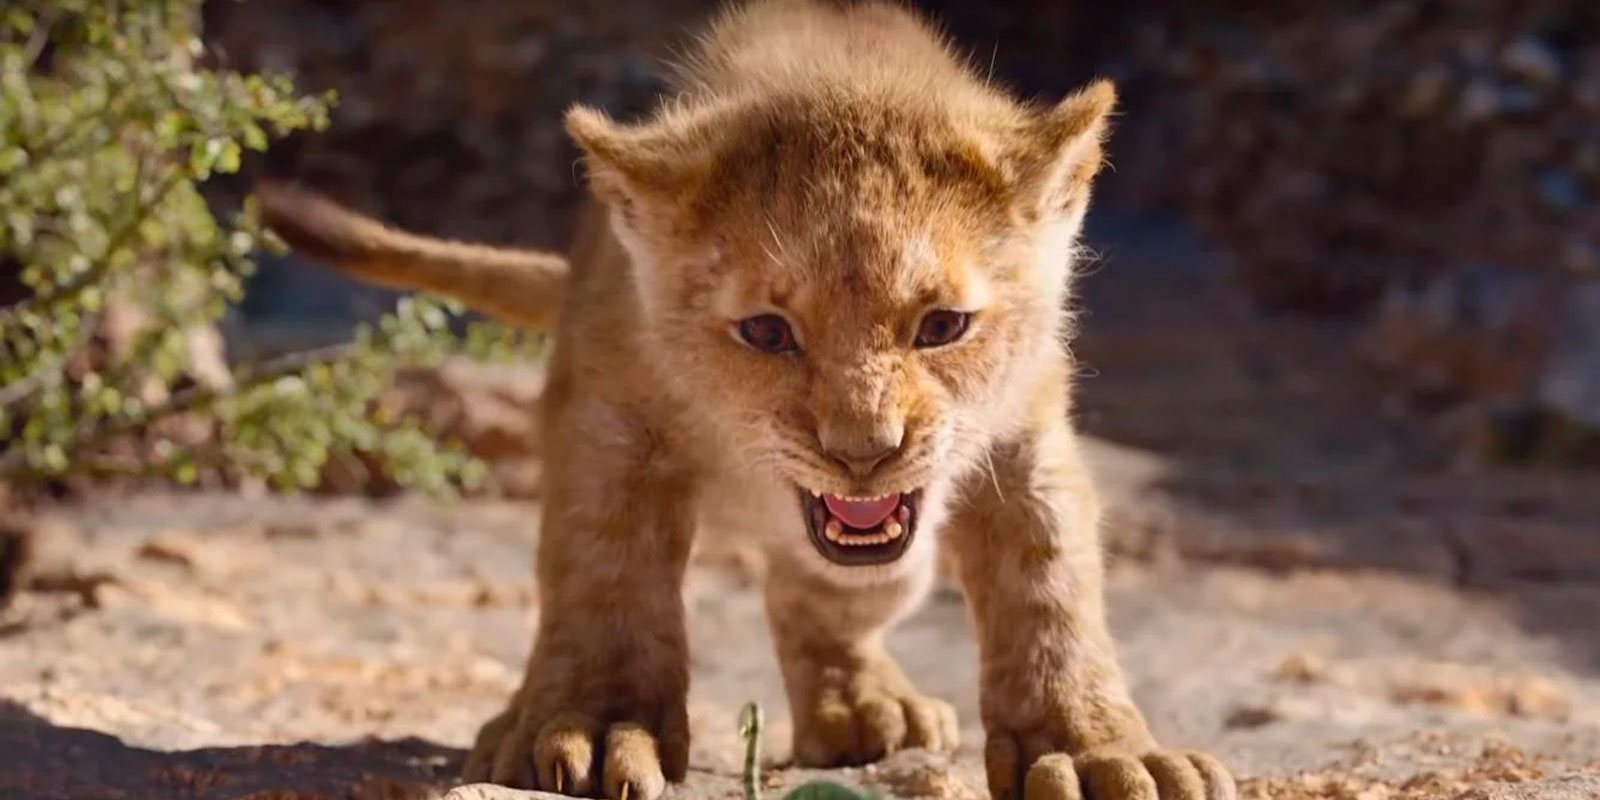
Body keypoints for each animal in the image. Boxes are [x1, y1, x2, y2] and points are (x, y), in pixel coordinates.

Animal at [256, 2, 1236, 799]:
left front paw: (1094, 750)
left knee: (818, 599)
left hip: (897, 563)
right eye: (767, 332)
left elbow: (1051, 589)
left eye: (943, 325)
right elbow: (606, 574)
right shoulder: (609, 416)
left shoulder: (1024, 438)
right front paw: (593, 727)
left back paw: (866, 709)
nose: (863, 450)